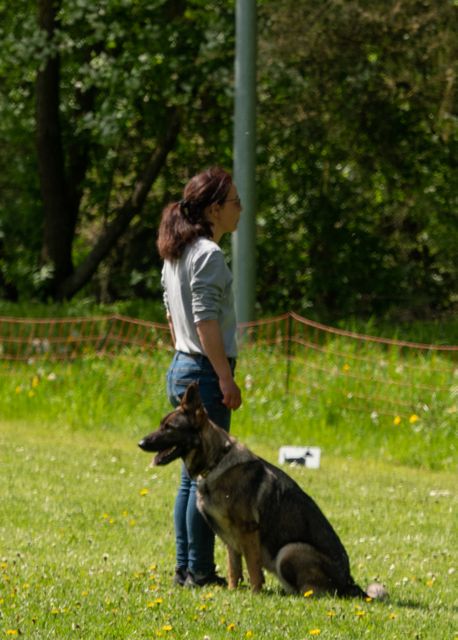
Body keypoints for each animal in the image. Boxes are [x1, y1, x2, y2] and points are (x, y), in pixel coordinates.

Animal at [138, 382, 386, 598]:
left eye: (169, 428)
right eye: (161, 424)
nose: (141, 443)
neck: (216, 462)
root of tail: (350, 583)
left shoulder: (248, 533)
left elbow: (253, 569)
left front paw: (255, 595)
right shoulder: (230, 540)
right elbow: (234, 570)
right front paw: (233, 592)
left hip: (289, 551)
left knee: (313, 592)